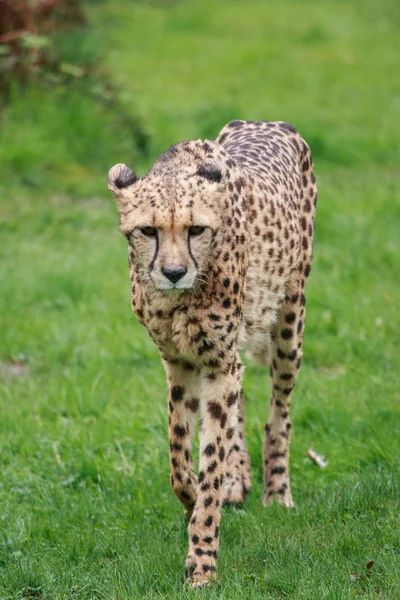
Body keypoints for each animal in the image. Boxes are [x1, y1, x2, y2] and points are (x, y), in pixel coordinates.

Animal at [108, 120, 318, 584]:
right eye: (148, 231)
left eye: (196, 229)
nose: (173, 272)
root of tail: (270, 122)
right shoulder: (180, 361)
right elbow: (178, 457)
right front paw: (194, 499)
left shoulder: (218, 361)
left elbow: (209, 462)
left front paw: (202, 562)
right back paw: (238, 479)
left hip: (290, 321)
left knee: (279, 411)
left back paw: (276, 490)